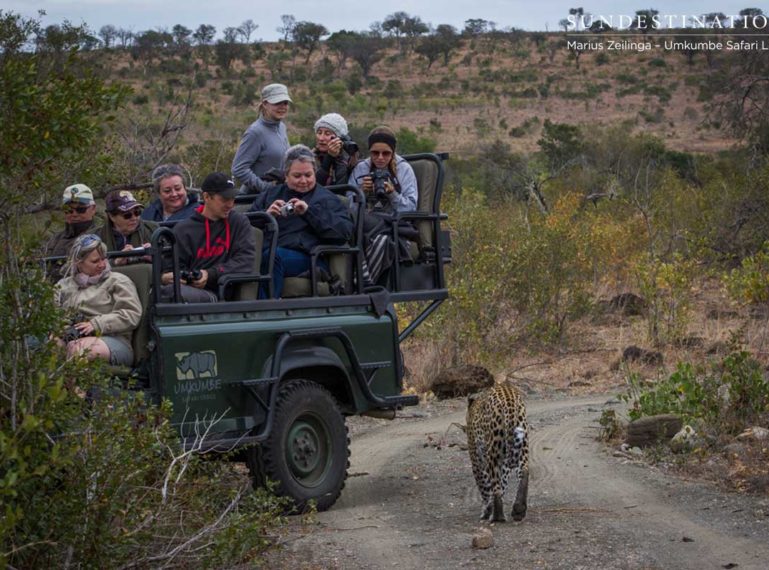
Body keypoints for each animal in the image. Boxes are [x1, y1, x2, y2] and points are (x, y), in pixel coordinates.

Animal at [462, 380, 528, 520]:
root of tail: (510, 401)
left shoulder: (476, 459)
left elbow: (484, 487)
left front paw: (486, 510)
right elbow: (503, 484)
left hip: (492, 453)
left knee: (495, 486)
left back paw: (497, 517)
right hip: (522, 447)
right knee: (524, 473)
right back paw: (519, 510)